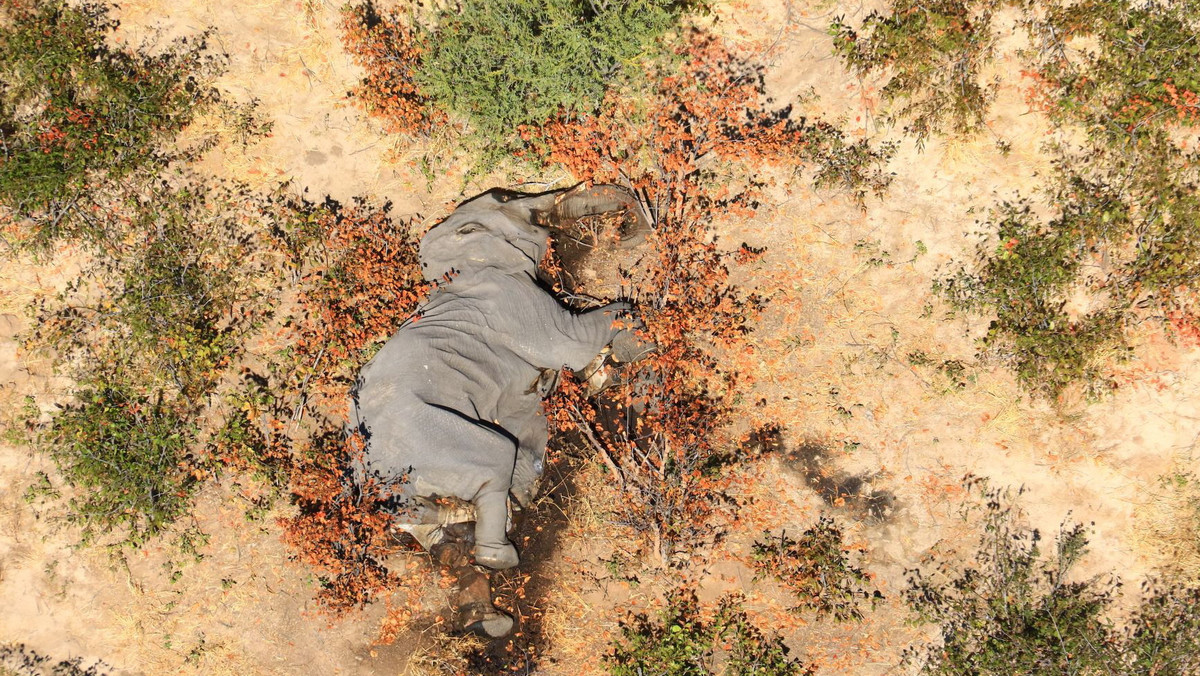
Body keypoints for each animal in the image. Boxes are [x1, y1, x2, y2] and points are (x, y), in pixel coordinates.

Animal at [348, 183, 652, 633]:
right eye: (507, 199)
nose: (624, 233)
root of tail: (369, 472)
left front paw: (605, 374)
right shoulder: (513, 301)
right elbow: (575, 339)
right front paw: (638, 342)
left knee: (443, 540)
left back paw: (487, 618)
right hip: (435, 437)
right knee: (493, 460)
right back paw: (500, 555)